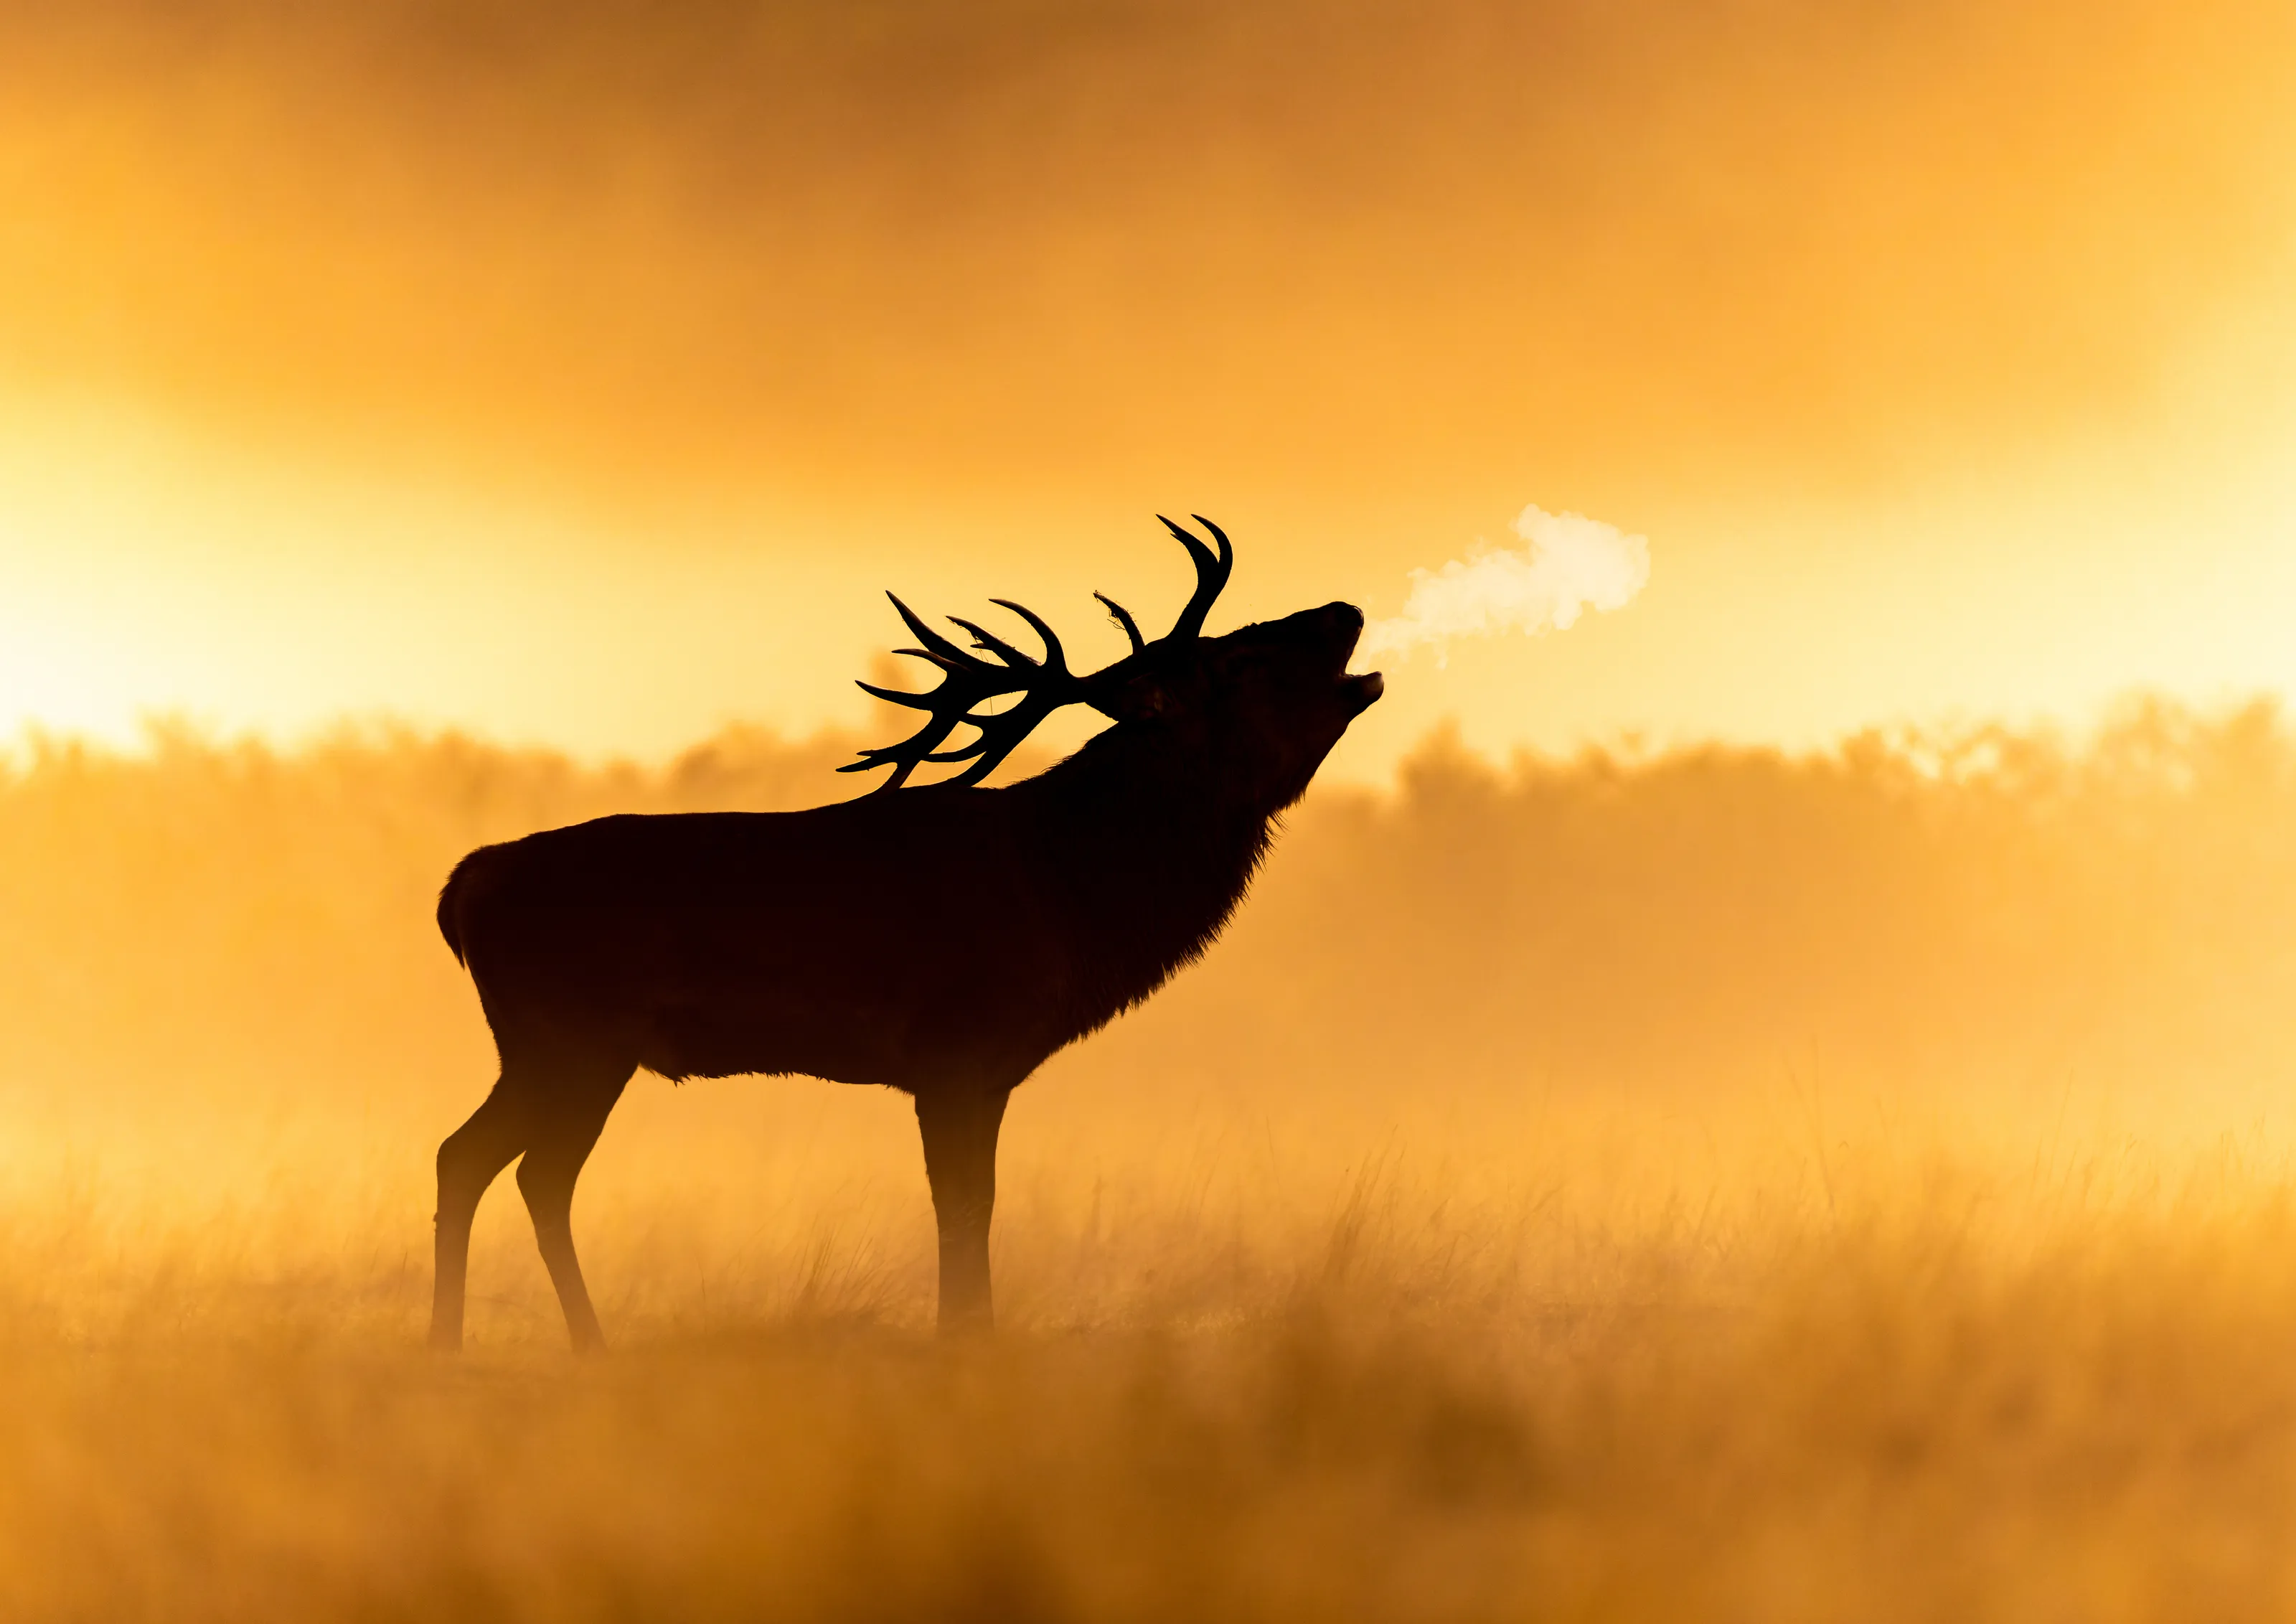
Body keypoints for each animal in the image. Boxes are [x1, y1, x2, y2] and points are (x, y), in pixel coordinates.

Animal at [427, 517, 1384, 1351]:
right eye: (1240, 660)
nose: (1343, 611)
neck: (1068, 893)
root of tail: (462, 886)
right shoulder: (956, 1049)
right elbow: (961, 1206)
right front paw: (964, 1337)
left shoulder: (984, 1071)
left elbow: (974, 1203)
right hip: (572, 1037)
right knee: (513, 1168)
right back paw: (530, 1343)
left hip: (553, 1048)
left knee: (480, 1160)